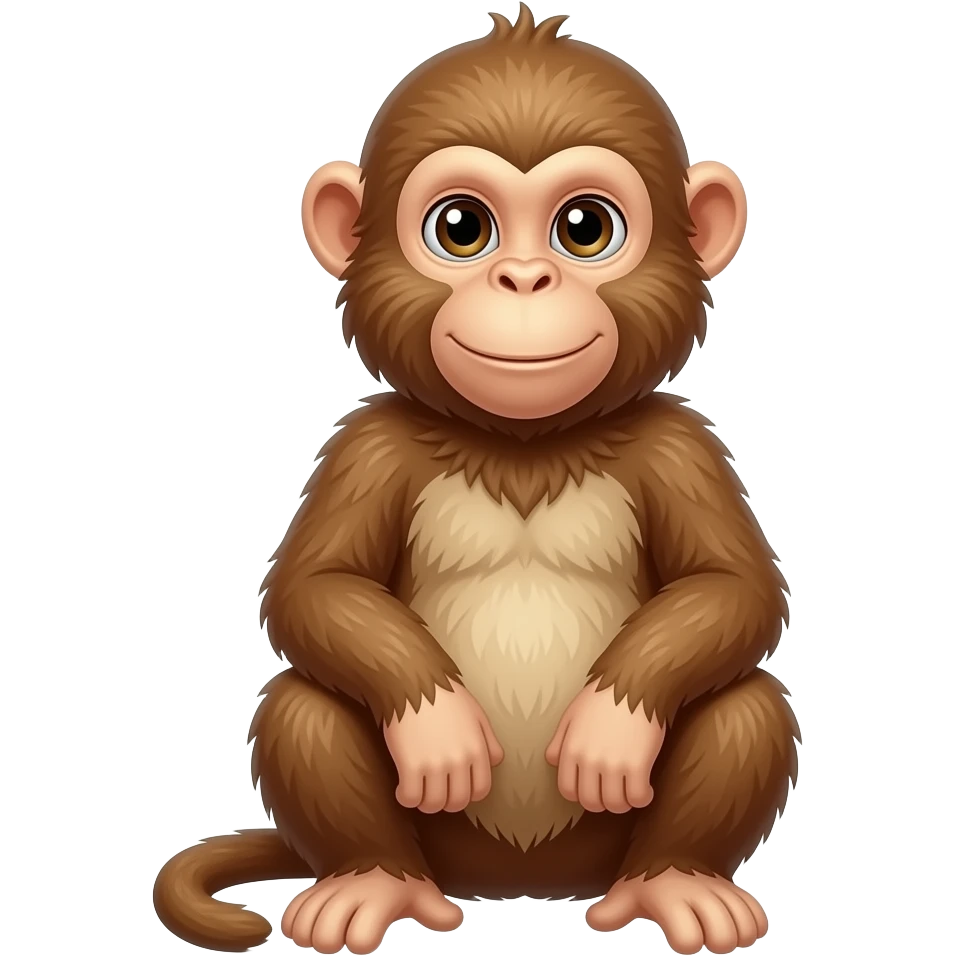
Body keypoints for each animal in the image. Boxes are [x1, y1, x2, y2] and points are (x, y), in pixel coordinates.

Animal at [152, 6, 800, 955]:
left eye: (585, 228)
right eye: (461, 228)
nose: (524, 279)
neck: (521, 444)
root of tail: (521, 883)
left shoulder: (683, 447)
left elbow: (736, 589)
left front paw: (611, 724)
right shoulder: (366, 447)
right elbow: (313, 589)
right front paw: (437, 726)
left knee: (745, 700)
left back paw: (677, 881)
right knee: (301, 702)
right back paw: (372, 882)